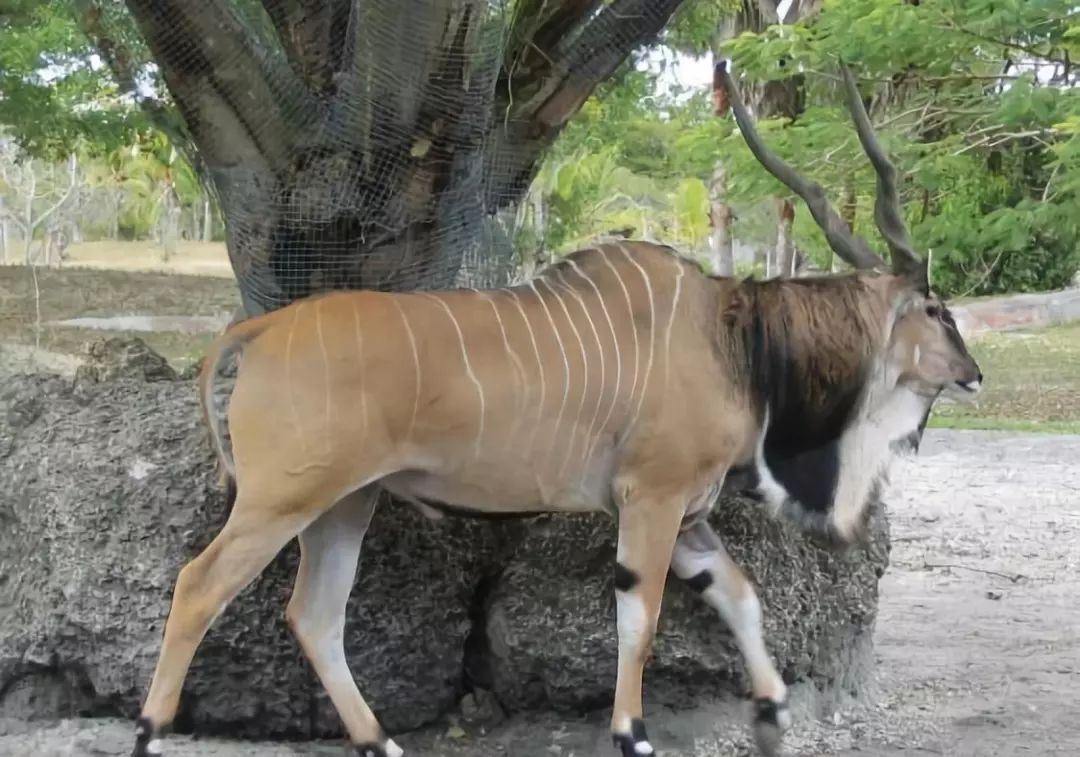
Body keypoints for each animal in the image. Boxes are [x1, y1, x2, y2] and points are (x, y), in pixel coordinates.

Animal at [130, 65, 984, 755]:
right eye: (935, 307)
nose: (974, 374)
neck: (730, 334)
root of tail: (264, 328)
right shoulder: (653, 497)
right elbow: (640, 618)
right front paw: (632, 731)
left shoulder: (687, 511)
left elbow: (740, 596)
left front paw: (771, 711)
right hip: (283, 498)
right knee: (198, 586)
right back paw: (151, 730)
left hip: (345, 503)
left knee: (314, 613)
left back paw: (380, 739)